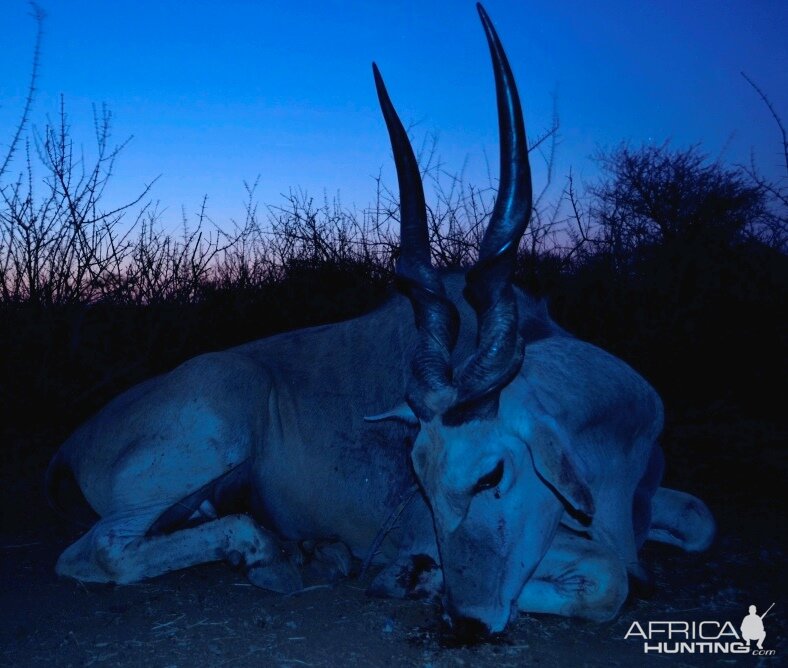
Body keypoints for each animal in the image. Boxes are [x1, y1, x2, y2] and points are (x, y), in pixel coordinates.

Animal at [44, 6, 716, 640]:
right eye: (420, 480)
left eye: (492, 473)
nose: (467, 622)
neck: (615, 435)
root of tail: (74, 444)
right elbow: (607, 577)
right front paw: (413, 576)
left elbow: (696, 523)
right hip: (221, 421)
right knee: (97, 552)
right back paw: (273, 552)